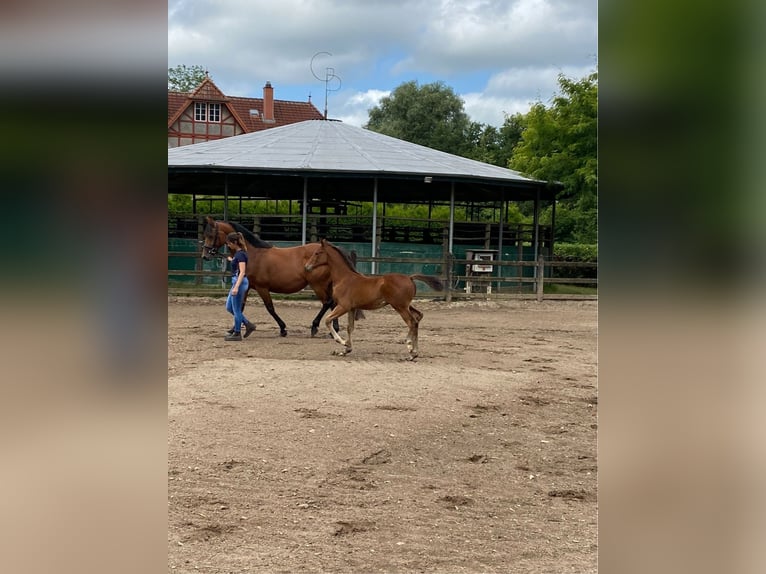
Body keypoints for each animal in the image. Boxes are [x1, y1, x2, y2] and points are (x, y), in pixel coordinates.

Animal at [201, 219, 364, 338]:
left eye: (210, 235)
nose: (205, 255)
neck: (253, 254)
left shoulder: (262, 287)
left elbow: (270, 308)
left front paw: (283, 329)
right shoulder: (246, 286)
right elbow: (239, 307)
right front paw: (233, 329)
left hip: (317, 284)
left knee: (327, 302)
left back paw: (314, 327)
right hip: (326, 284)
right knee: (332, 304)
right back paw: (333, 329)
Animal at [304, 238, 448, 360]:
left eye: (317, 253)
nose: (306, 267)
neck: (344, 278)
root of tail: (410, 277)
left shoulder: (343, 306)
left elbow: (328, 320)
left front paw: (342, 342)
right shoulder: (352, 308)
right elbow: (350, 328)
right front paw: (346, 350)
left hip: (400, 306)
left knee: (412, 322)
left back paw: (411, 350)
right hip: (406, 305)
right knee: (418, 317)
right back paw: (413, 350)